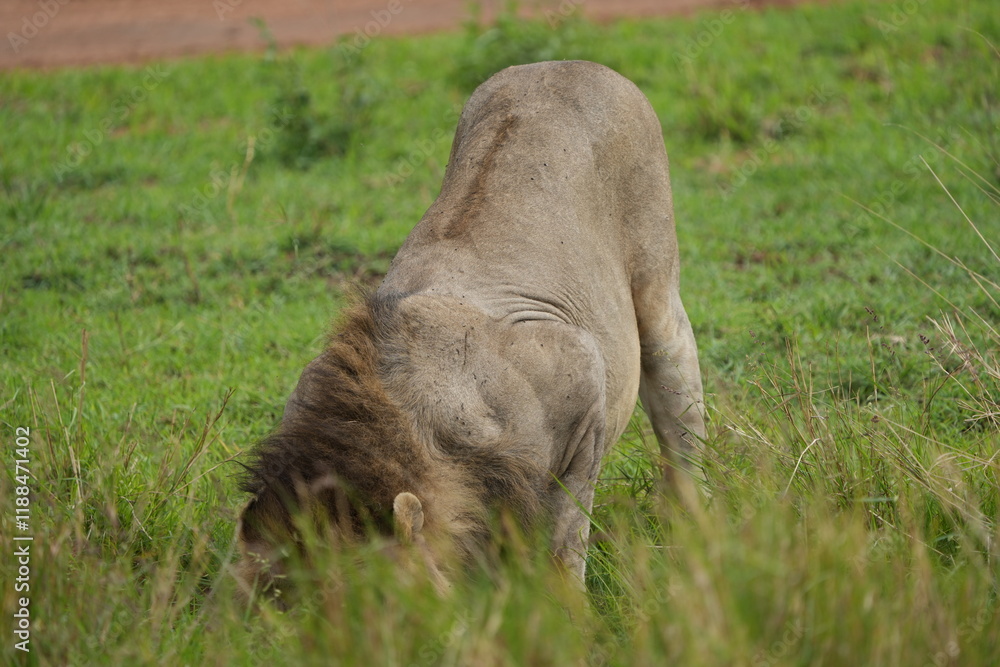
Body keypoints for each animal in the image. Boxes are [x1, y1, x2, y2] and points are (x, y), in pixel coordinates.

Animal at [236, 60, 706, 603]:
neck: (414, 417)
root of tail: (561, 62)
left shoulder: (581, 380)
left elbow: (564, 538)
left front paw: (566, 610)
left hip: (657, 292)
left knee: (681, 412)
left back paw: (697, 522)